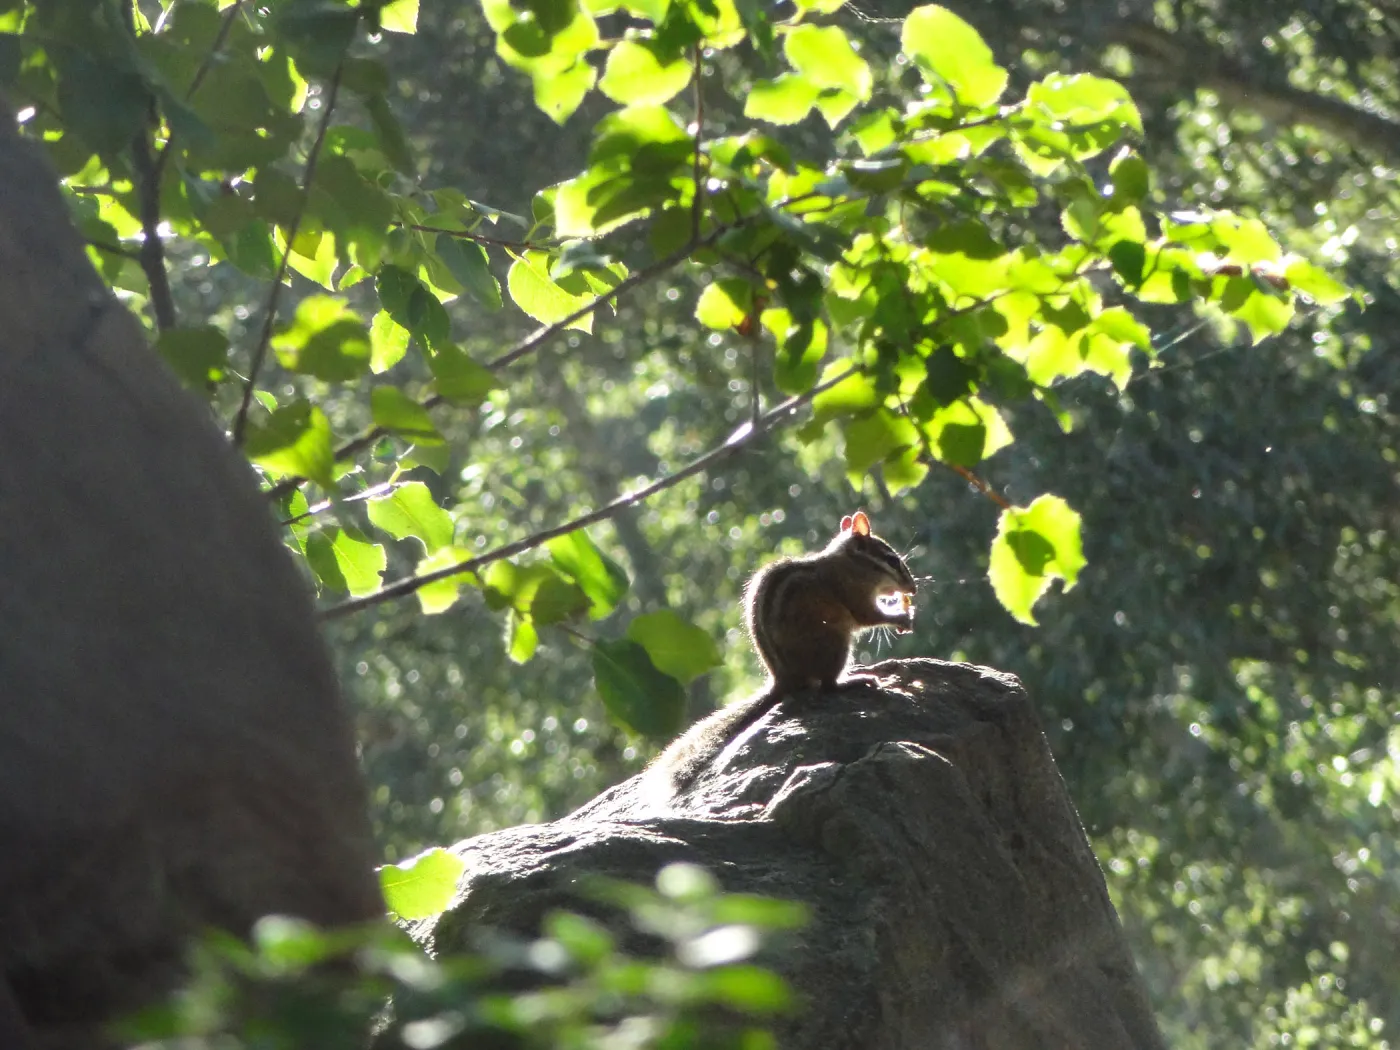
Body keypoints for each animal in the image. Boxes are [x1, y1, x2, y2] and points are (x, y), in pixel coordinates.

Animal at [650, 510, 917, 792]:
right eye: (892, 560)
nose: (913, 589)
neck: (847, 563)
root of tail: (783, 679)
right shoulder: (853, 594)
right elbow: (869, 617)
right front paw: (902, 617)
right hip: (836, 643)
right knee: (828, 686)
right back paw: (854, 681)